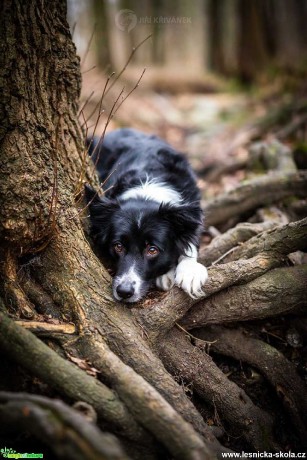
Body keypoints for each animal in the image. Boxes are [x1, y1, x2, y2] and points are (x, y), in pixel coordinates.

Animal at [85, 127, 208, 304]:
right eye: (118, 246)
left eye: (152, 250)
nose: (124, 292)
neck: (147, 191)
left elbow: (191, 240)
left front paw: (190, 272)